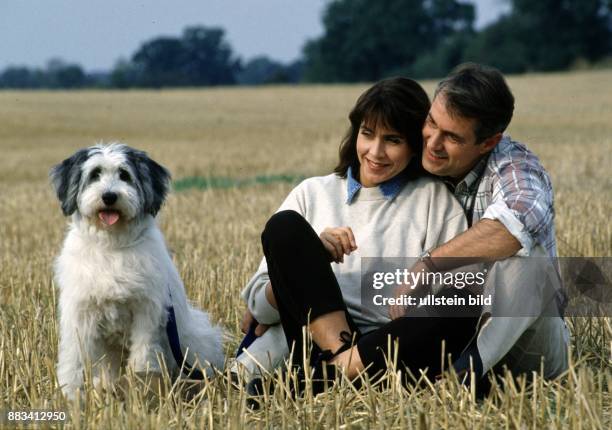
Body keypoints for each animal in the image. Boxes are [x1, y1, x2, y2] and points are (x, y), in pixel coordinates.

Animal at [51, 143, 225, 398]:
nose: (109, 196)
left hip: (193, 341)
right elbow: (73, 358)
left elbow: (143, 354)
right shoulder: (80, 312)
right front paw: (70, 395)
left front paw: (141, 387)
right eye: (95, 174)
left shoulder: (146, 311)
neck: (112, 247)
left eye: (124, 175)